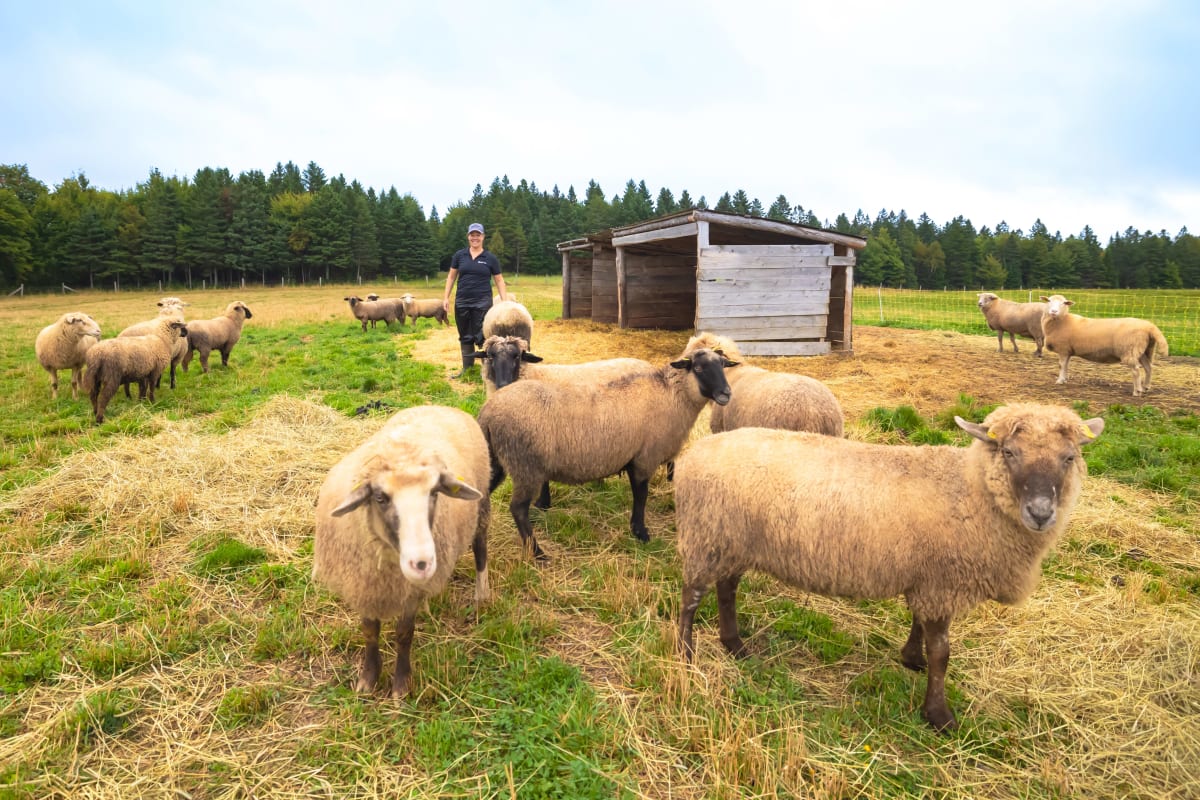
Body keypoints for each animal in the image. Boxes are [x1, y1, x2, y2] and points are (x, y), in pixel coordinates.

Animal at [312, 405, 491, 699]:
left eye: (434, 493)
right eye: (380, 498)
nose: (422, 563)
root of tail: (435, 405)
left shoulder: (408, 591)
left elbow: (404, 634)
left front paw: (401, 685)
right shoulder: (365, 585)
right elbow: (369, 631)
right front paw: (368, 679)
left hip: (482, 503)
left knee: (480, 548)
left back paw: (482, 594)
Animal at [478, 332, 738, 560]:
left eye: (723, 365)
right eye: (699, 368)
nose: (726, 393)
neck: (670, 394)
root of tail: (488, 412)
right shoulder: (644, 458)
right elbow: (641, 495)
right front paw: (640, 532)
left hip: (497, 460)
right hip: (525, 465)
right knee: (518, 509)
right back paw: (538, 552)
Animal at [674, 402, 1105, 732]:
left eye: (1069, 458)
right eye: (1010, 452)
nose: (1041, 513)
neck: (969, 491)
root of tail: (694, 452)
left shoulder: (928, 576)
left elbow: (920, 628)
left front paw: (911, 659)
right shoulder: (941, 582)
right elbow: (941, 652)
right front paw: (939, 716)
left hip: (733, 541)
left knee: (727, 589)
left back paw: (735, 645)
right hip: (706, 536)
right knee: (691, 596)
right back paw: (685, 654)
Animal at [1040, 294, 1169, 396]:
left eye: (1064, 303)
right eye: (1049, 301)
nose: (1054, 311)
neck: (1061, 321)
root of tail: (1149, 326)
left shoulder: (1063, 349)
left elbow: (1061, 365)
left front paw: (1059, 380)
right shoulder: (1068, 351)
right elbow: (1066, 366)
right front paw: (1065, 379)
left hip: (1130, 350)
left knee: (1136, 371)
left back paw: (1137, 391)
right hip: (1143, 350)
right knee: (1148, 367)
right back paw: (1146, 387)